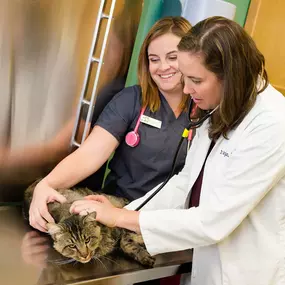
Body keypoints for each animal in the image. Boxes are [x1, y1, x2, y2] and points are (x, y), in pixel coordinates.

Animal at [23, 180, 154, 266]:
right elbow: (127, 242)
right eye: (72, 246)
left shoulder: (120, 226)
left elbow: (127, 240)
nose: (85, 255)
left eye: (87, 240)